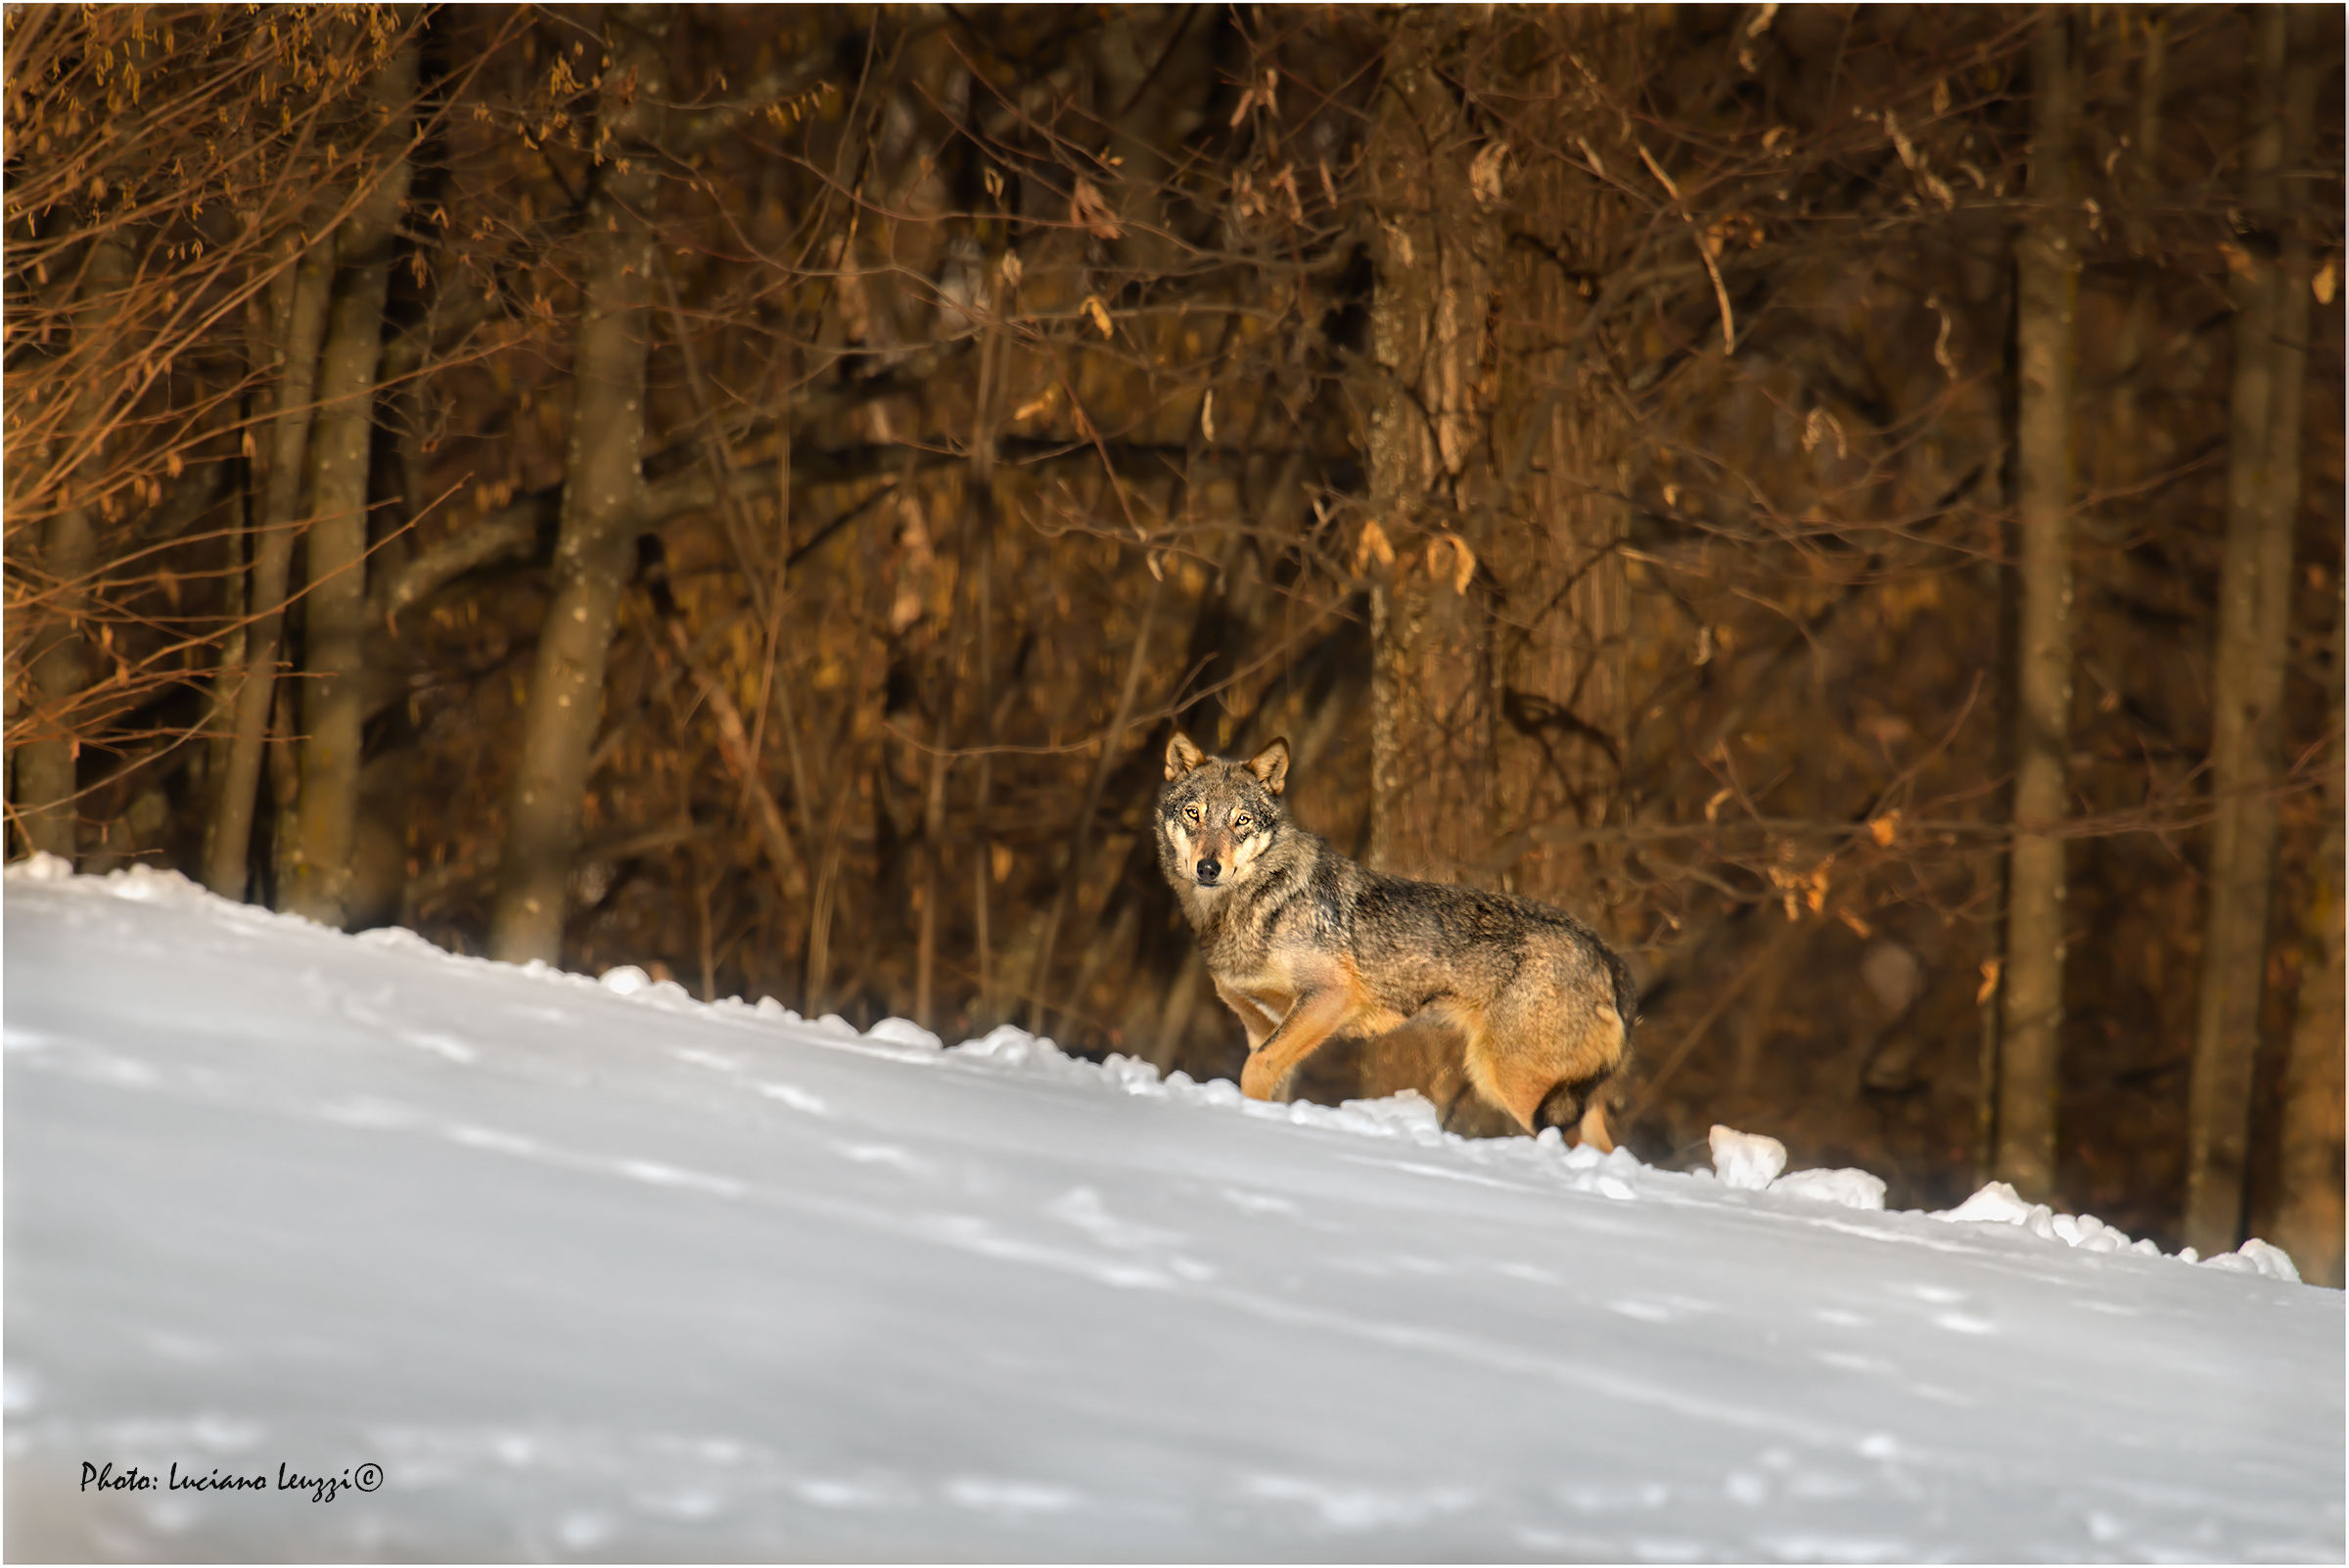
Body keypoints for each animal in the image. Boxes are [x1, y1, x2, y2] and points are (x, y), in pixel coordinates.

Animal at [1155, 731, 1639, 1150]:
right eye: (1194, 813)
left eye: (1241, 821)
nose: (1208, 868)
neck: (1253, 905)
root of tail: (1604, 950)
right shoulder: (1263, 1024)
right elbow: (1267, 1077)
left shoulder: (1331, 997)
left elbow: (1256, 1069)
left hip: (1512, 1083)